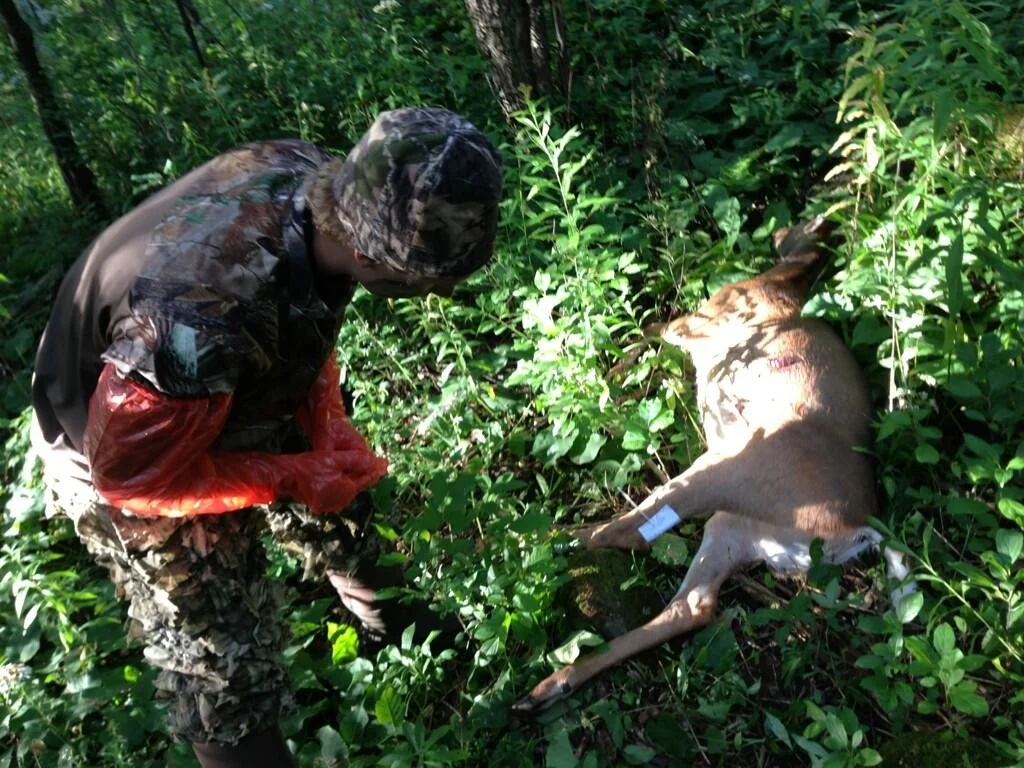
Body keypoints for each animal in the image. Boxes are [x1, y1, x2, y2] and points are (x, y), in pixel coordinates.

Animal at [514, 217, 915, 713]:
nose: (784, 232)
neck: (786, 284)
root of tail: (862, 526)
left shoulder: (695, 320)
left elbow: (651, 325)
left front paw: (608, 371)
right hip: (733, 525)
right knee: (693, 605)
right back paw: (549, 686)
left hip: (737, 462)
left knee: (625, 532)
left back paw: (523, 542)